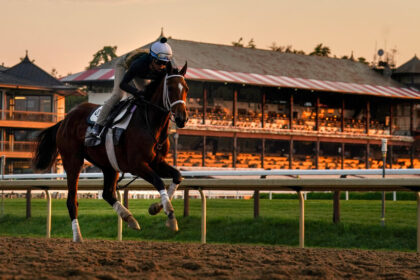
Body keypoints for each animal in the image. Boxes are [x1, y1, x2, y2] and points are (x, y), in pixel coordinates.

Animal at [32, 62, 189, 242]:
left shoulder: (157, 162)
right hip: (73, 161)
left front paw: (156, 207)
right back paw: (78, 236)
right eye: (170, 88)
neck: (150, 123)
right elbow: (159, 181)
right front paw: (170, 215)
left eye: (186, 88)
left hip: (109, 165)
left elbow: (177, 176)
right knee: (72, 200)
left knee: (107, 193)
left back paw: (130, 218)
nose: (182, 118)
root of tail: (64, 120)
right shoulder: (137, 165)